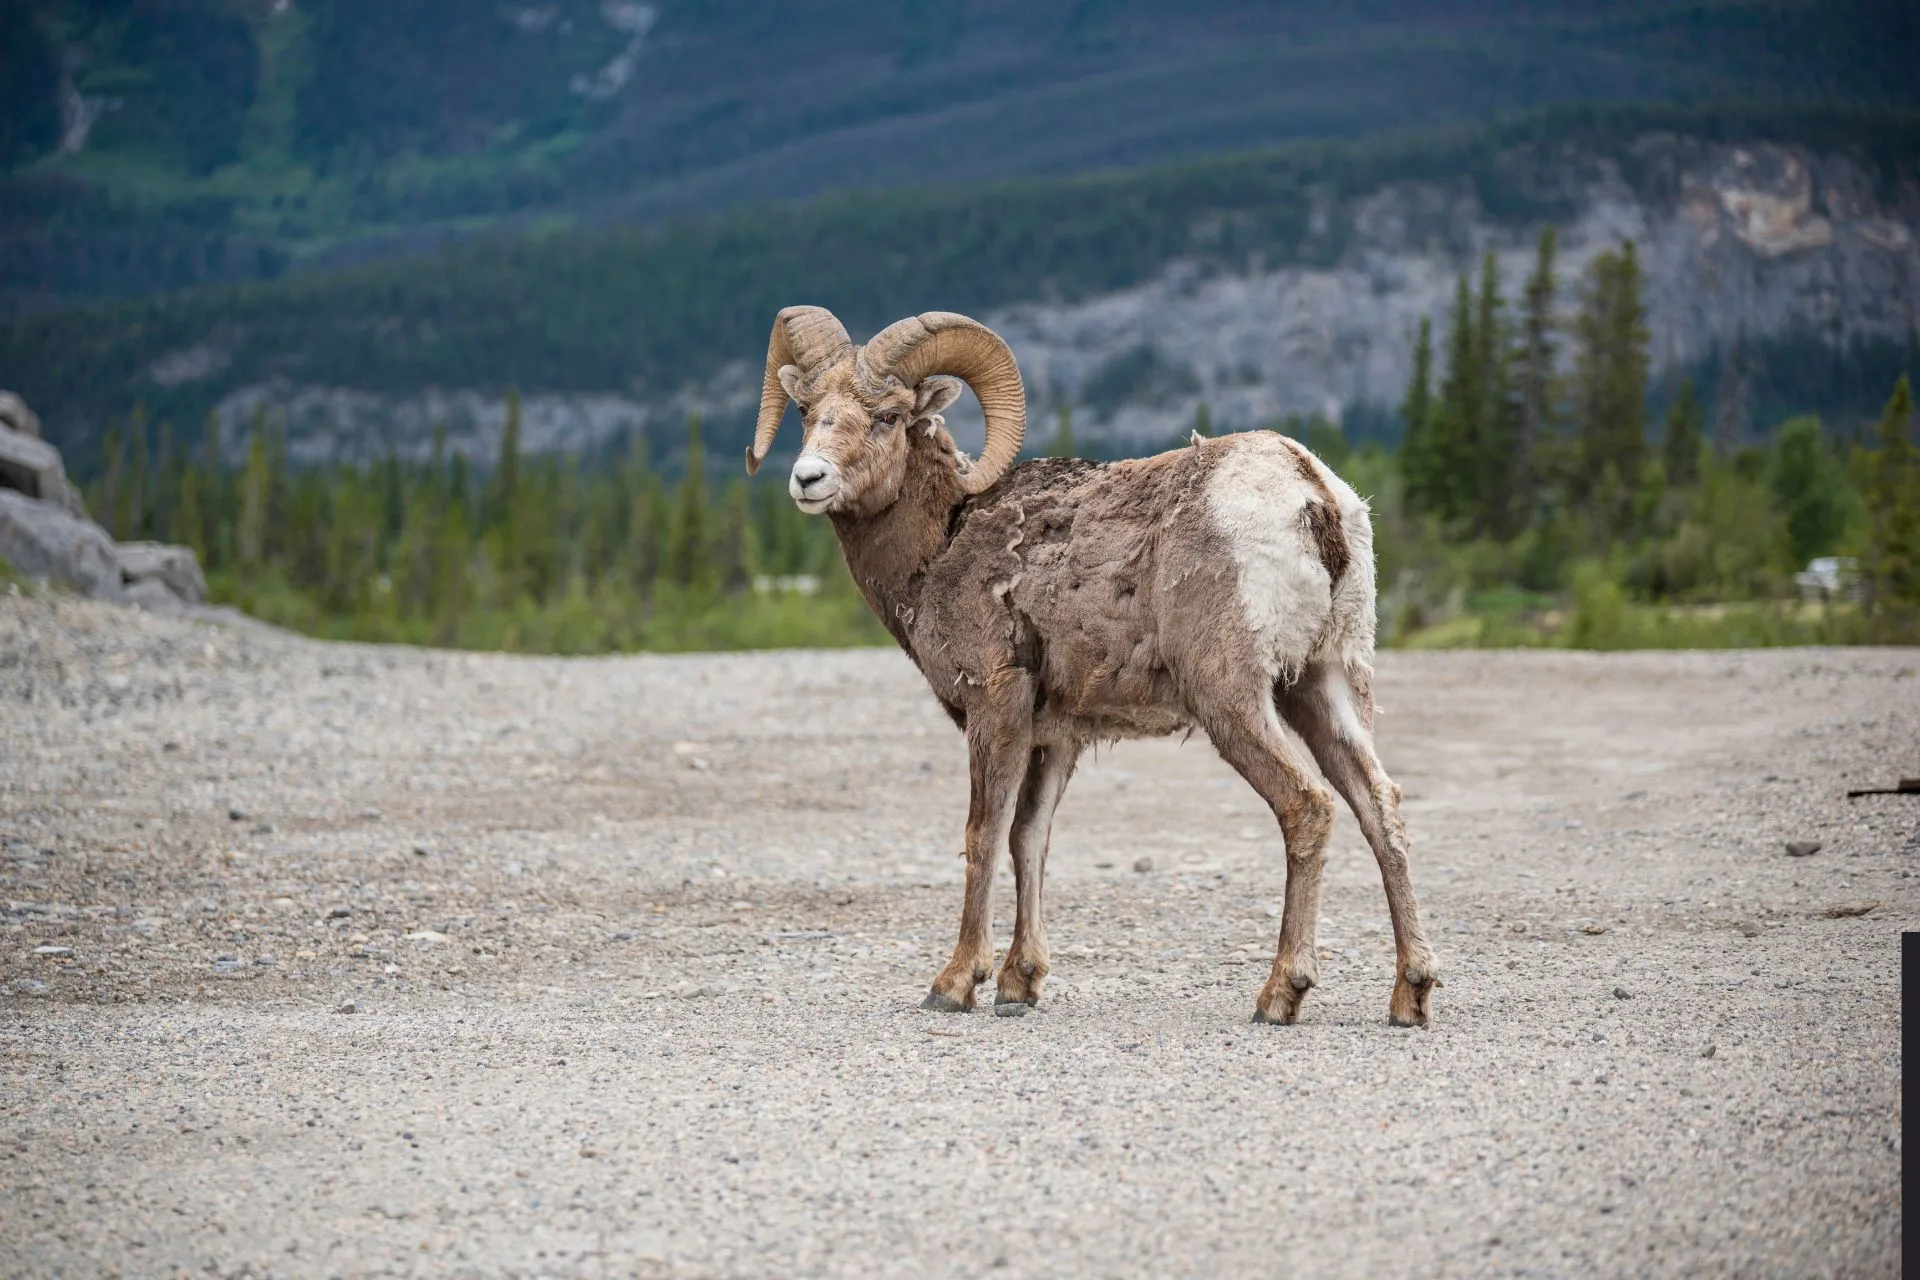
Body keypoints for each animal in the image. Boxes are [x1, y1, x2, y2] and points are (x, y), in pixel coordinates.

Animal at [745, 306, 1439, 1026]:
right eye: (806, 410)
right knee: (1379, 806)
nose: (808, 479)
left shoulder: (995, 706)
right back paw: (1410, 993)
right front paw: (1020, 984)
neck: (940, 544)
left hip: (1233, 698)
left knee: (1307, 807)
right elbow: (1029, 838)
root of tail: (1313, 496)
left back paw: (1280, 994)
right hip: (1327, 684)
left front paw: (955, 983)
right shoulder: (1056, 736)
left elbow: (983, 834)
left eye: (886, 415)